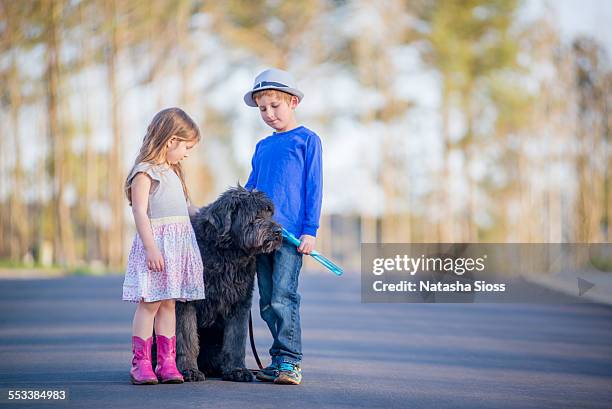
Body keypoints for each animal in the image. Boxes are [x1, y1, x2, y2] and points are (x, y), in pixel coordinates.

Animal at [175, 186, 282, 380]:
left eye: (269, 213)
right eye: (255, 214)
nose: (278, 231)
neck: (226, 253)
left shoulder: (239, 303)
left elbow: (236, 339)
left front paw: (236, 370)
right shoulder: (186, 302)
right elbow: (187, 338)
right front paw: (189, 370)